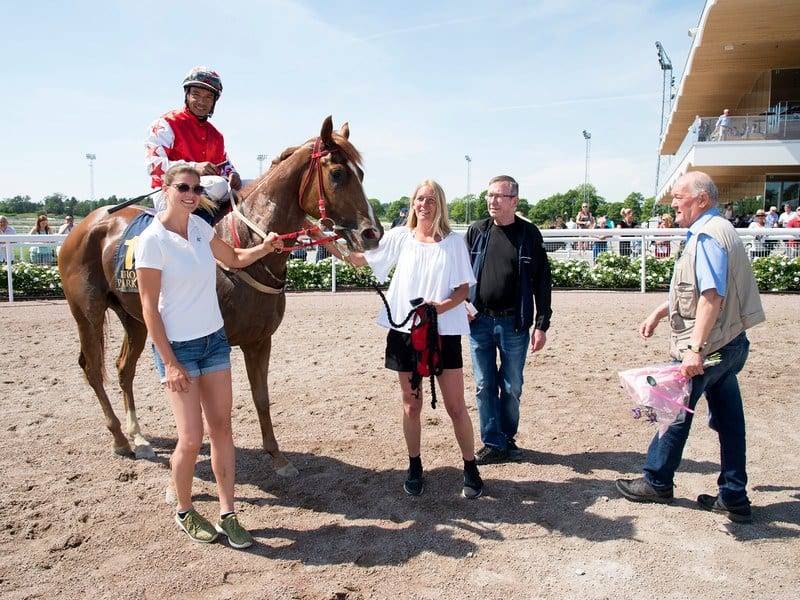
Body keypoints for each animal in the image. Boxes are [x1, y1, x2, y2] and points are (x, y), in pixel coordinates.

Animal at [57, 115, 382, 476]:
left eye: (361, 173)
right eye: (337, 173)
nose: (373, 233)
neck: (242, 244)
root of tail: (89, 223)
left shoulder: (259, 340)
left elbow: (261, 397)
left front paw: (278, 457)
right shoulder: (214, 344)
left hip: (136, 318)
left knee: (123, 368)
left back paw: (139, 438)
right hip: (87, 312)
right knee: (92, 368)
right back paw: (119, 439)